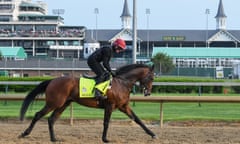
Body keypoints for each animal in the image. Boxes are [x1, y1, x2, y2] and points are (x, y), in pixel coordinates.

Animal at [19, 63, 157, 142]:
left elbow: (138, 120)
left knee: (51, 119)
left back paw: (54, 139)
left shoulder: (123, 106)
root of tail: (52, 80)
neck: (122, 83)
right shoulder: (110, 105)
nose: (148, 93)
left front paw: (152, 134)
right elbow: (106, 122)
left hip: (63, 104)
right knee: (38, 115)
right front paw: (105, 139)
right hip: (54, 103)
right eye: (151, 77)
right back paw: (25, 133)